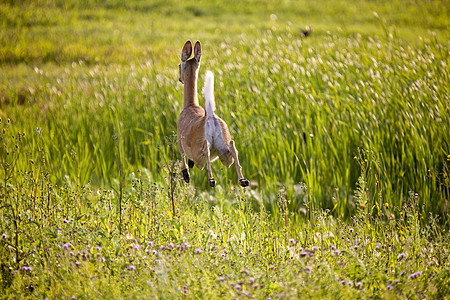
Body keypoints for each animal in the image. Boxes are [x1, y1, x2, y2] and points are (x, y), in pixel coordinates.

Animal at [178, 41, 250, 188]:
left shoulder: (178, 139)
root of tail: (210, 116)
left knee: (204, 151)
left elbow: (181, 157)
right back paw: (243, 180)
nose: (179, 79)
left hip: (199, 154)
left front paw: (186, 175)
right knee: (232, 148)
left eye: (179, 66)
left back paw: (211, 179)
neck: (190, 105)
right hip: (224, 151)